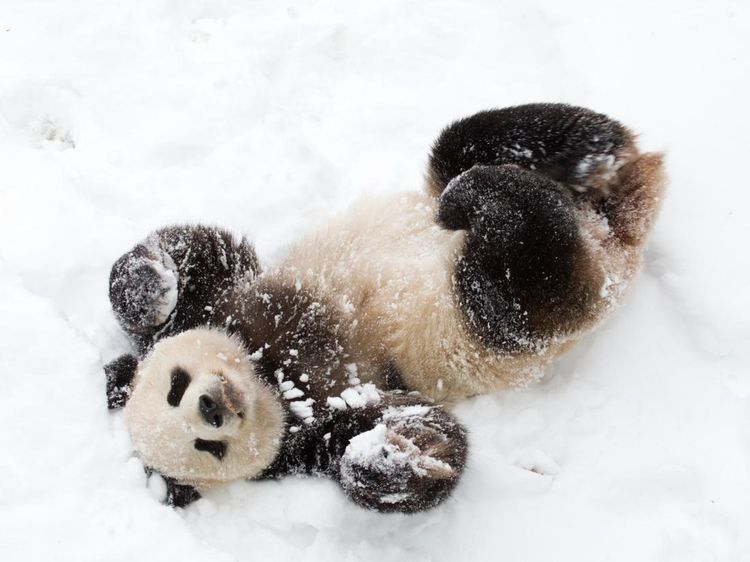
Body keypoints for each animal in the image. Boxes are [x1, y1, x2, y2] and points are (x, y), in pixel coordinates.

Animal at [104, 103, 665, 512]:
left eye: (175, 386)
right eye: (208, 447)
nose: (212, 408)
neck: (270, 372)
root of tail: (611, 233)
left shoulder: (230, 302)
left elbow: (201, 252)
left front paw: (149, 287)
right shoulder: (318, 423)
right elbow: (423, 433)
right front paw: (387, 457)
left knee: (469, 143)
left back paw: (579, 158)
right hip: (502, 318)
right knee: (523, 271)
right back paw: (510, 195)